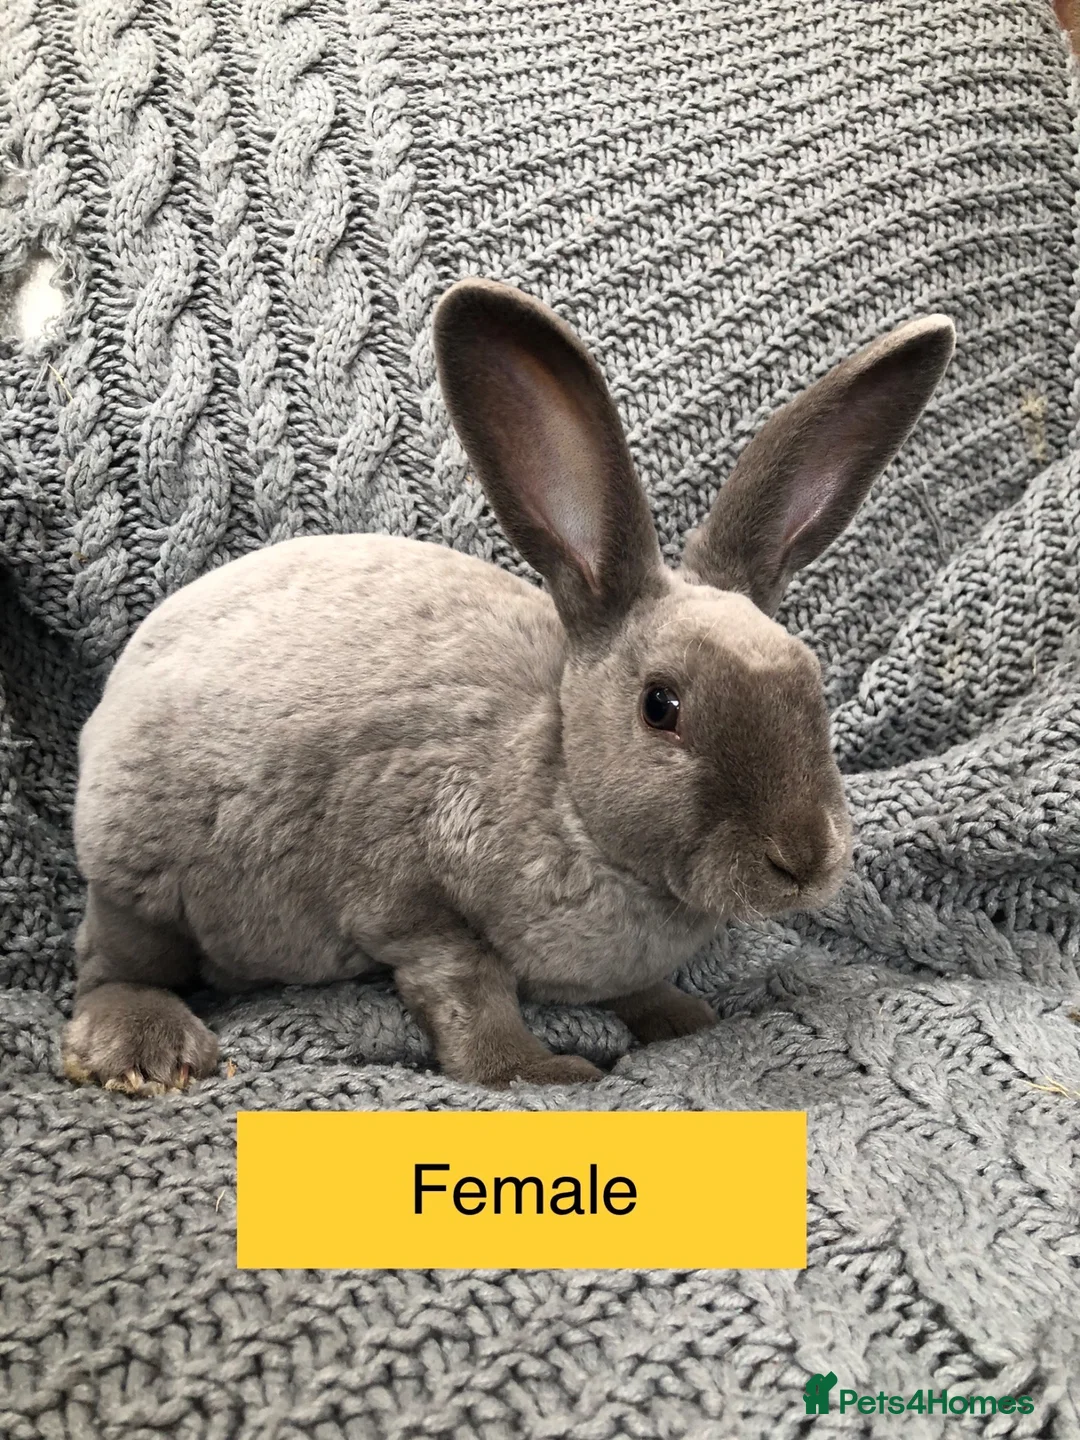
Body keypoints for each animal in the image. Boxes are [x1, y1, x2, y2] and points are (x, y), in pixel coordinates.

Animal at [61, 279, 954, 1094]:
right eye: (661, 707)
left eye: (814, 687)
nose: (803, 858)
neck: (567, 794)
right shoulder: (413, 905)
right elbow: (469, 993)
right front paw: (538, 1071)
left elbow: (640, 990)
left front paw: (684, 1020)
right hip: (145, 885)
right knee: (110, 967)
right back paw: (147, 1051)